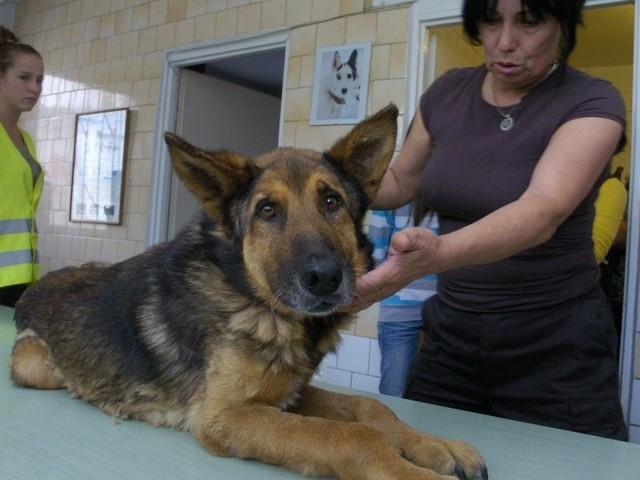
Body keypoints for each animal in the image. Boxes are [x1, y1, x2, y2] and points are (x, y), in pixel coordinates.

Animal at [10, 106, 488, 480]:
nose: (324, 278)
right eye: (267, 210)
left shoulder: (285, 393)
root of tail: (35, 289)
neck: (254, 300)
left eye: (331, 202)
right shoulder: (227, 415)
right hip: (35, 367)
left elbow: (371, 410)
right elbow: (351, 435)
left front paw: (436, 447)